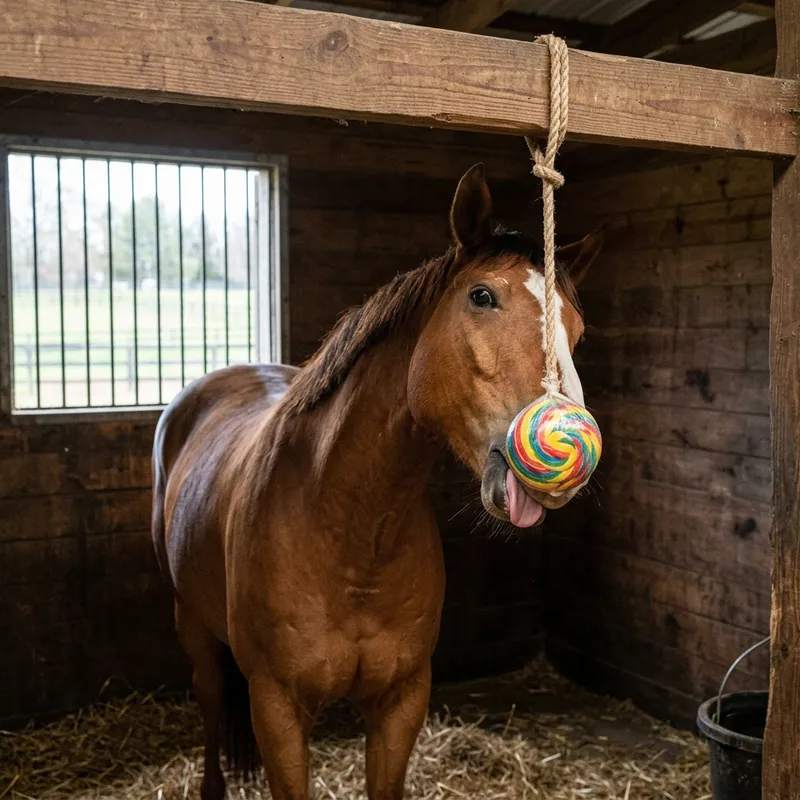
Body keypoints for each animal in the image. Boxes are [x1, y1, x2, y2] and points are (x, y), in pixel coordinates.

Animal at [152, 163, 602, 800]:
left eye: (577, 328)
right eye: (482, 296)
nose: (574, 442)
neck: (349, 531)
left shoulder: (401, 702)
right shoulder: (277, 710)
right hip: (193, 626)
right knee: (211, 701)